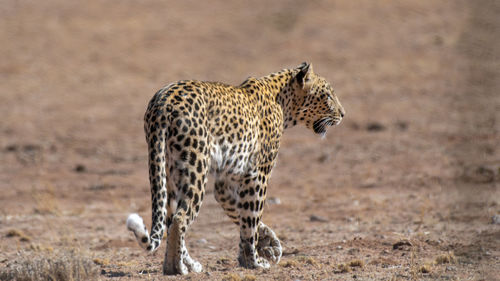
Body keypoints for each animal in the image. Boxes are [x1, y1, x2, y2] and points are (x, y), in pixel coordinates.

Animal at [126, 61, 344, 274]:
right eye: (327, 95)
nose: (343, 114)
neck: (283, 100)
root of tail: (162, 103)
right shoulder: (258, 173)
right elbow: (251, 217)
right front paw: (253, 261)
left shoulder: (227, 181)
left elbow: (240, 213)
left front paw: (267, 243)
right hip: (195, 167)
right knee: (180, 218)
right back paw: (176, 267)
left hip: (170, 172)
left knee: (170, 219)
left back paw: (186, 264)